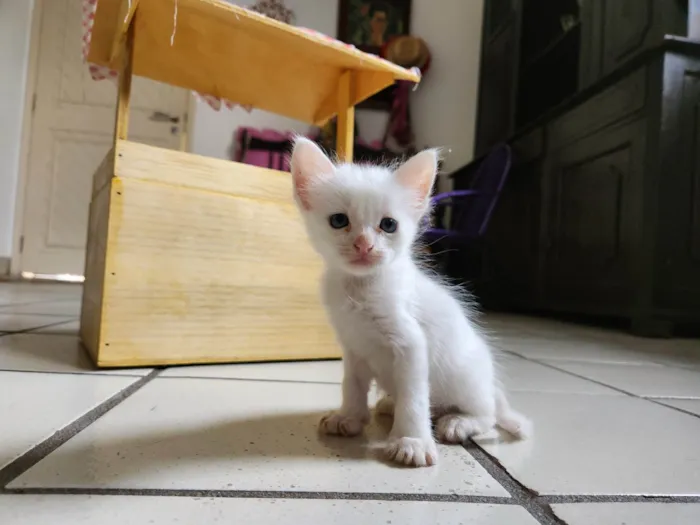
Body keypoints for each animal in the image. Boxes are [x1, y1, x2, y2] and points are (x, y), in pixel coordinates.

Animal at [290, 136, 532, 466]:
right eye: (339, 221)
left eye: (388, 225)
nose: (364, 245)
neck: (361, 289)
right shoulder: (353, 347)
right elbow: (352, 385)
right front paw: (349, 418)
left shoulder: (411, 344)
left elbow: (414, 396)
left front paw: (411, 441)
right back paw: (389, 404)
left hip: (464, 378)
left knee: (488, 415)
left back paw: (459, 422)